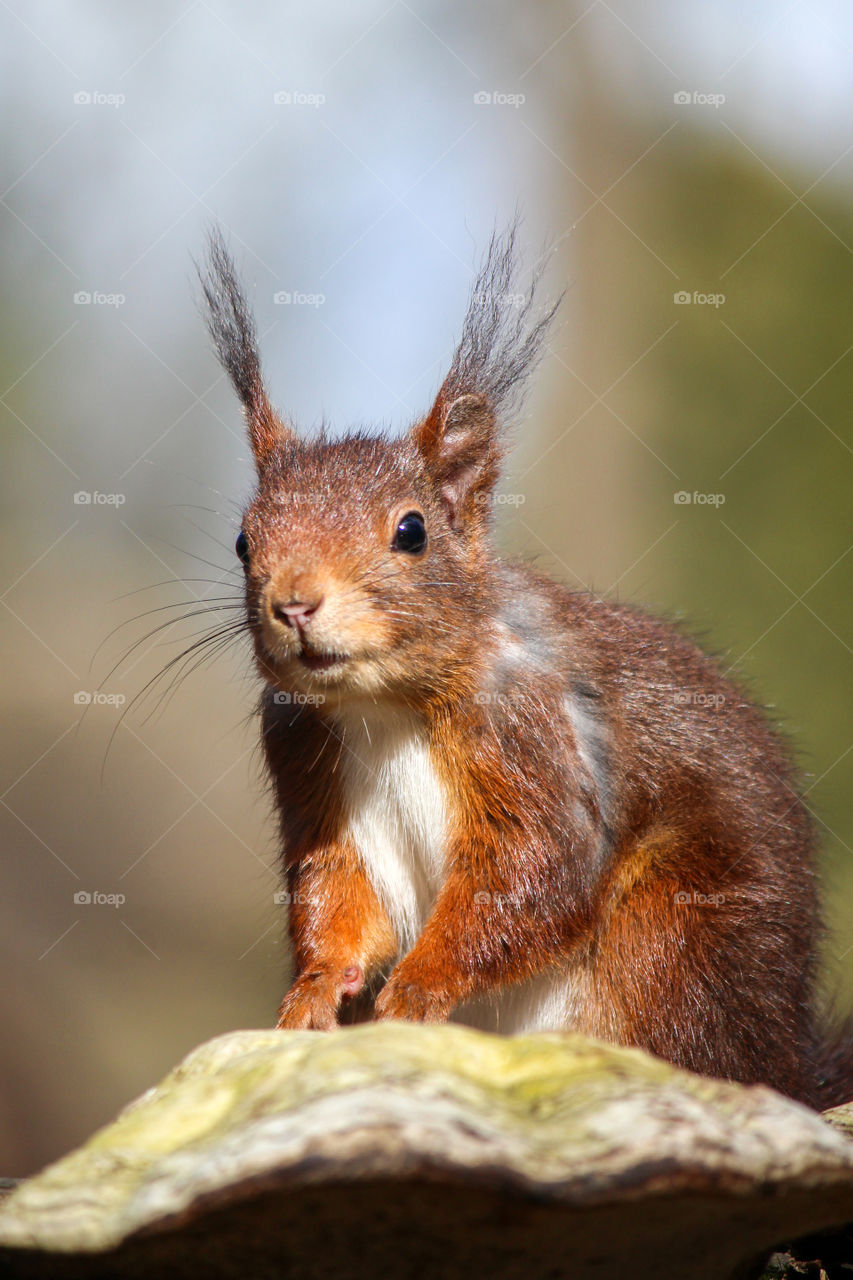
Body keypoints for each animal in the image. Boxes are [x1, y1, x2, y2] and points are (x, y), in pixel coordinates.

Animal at [198, 224, 849, 1111]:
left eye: (411, 531)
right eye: (242, 541)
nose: (295, 605)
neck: (385, 704)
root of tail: (781, 1064)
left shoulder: (536, 737)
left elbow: (529, 880)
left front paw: (419, 986)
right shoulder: (309, 768)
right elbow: (339, 896)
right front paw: (315, 990)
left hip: (674, 931)